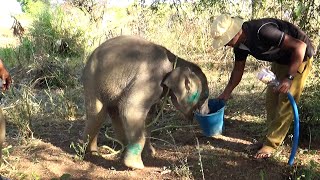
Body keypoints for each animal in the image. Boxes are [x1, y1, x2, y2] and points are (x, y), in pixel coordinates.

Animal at [82, 35, 210, 169]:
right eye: (204, 97)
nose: (208, 112)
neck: (175, 60)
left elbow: (149, 116)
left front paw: (150, 154)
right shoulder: (151, 78)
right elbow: (130, 109)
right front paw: (135, 165)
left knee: (114, 113)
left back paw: (117, 150)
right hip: (92, 80)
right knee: (98, 115)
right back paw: (92, 153)